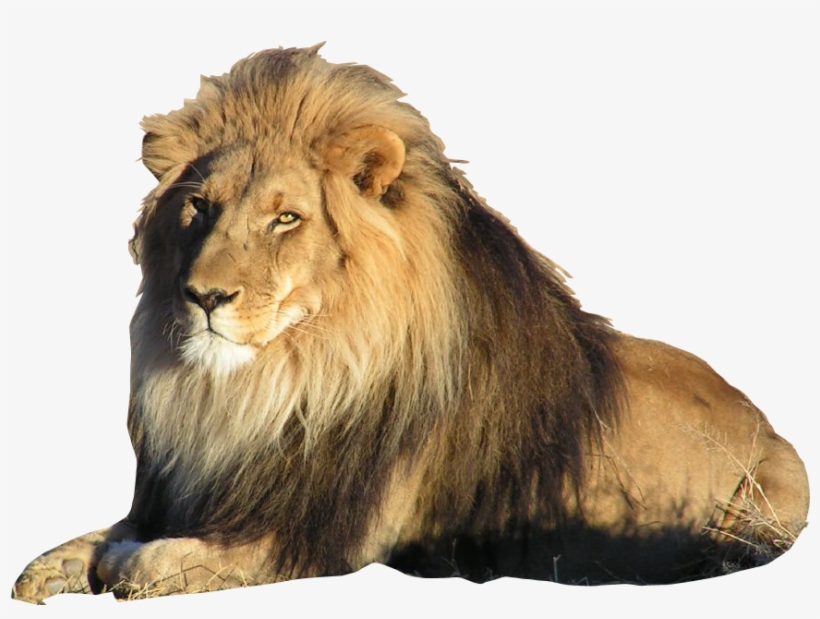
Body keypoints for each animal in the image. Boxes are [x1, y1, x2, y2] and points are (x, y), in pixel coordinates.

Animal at [13, 44, 809, 604]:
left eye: (286, 218)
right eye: (199, 207)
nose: (203, 296)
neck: (270, 385)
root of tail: (764, 416)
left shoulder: (320, 537)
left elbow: (163, 557)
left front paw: (124, 565)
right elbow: (99, 534)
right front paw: (49, 565)